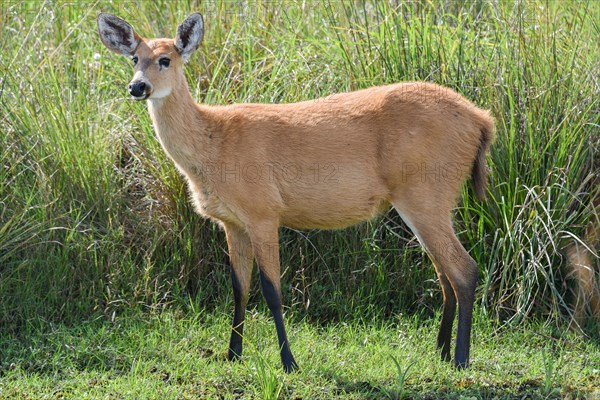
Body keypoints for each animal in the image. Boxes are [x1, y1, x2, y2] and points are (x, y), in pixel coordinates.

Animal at [97, 11, 492, 372]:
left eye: (166, 58)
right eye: (134, 58)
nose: (137, 87)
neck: (213, 146)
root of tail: (482, 119)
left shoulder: (263, 212)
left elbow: (272, 290)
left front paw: (289, 362)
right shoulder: (232, 222)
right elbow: (239, 287)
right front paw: (232, 355)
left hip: (427, 193)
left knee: (464, 269)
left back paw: (460, 359)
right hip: (425, 201)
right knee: (444, 273)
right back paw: (440, 353)